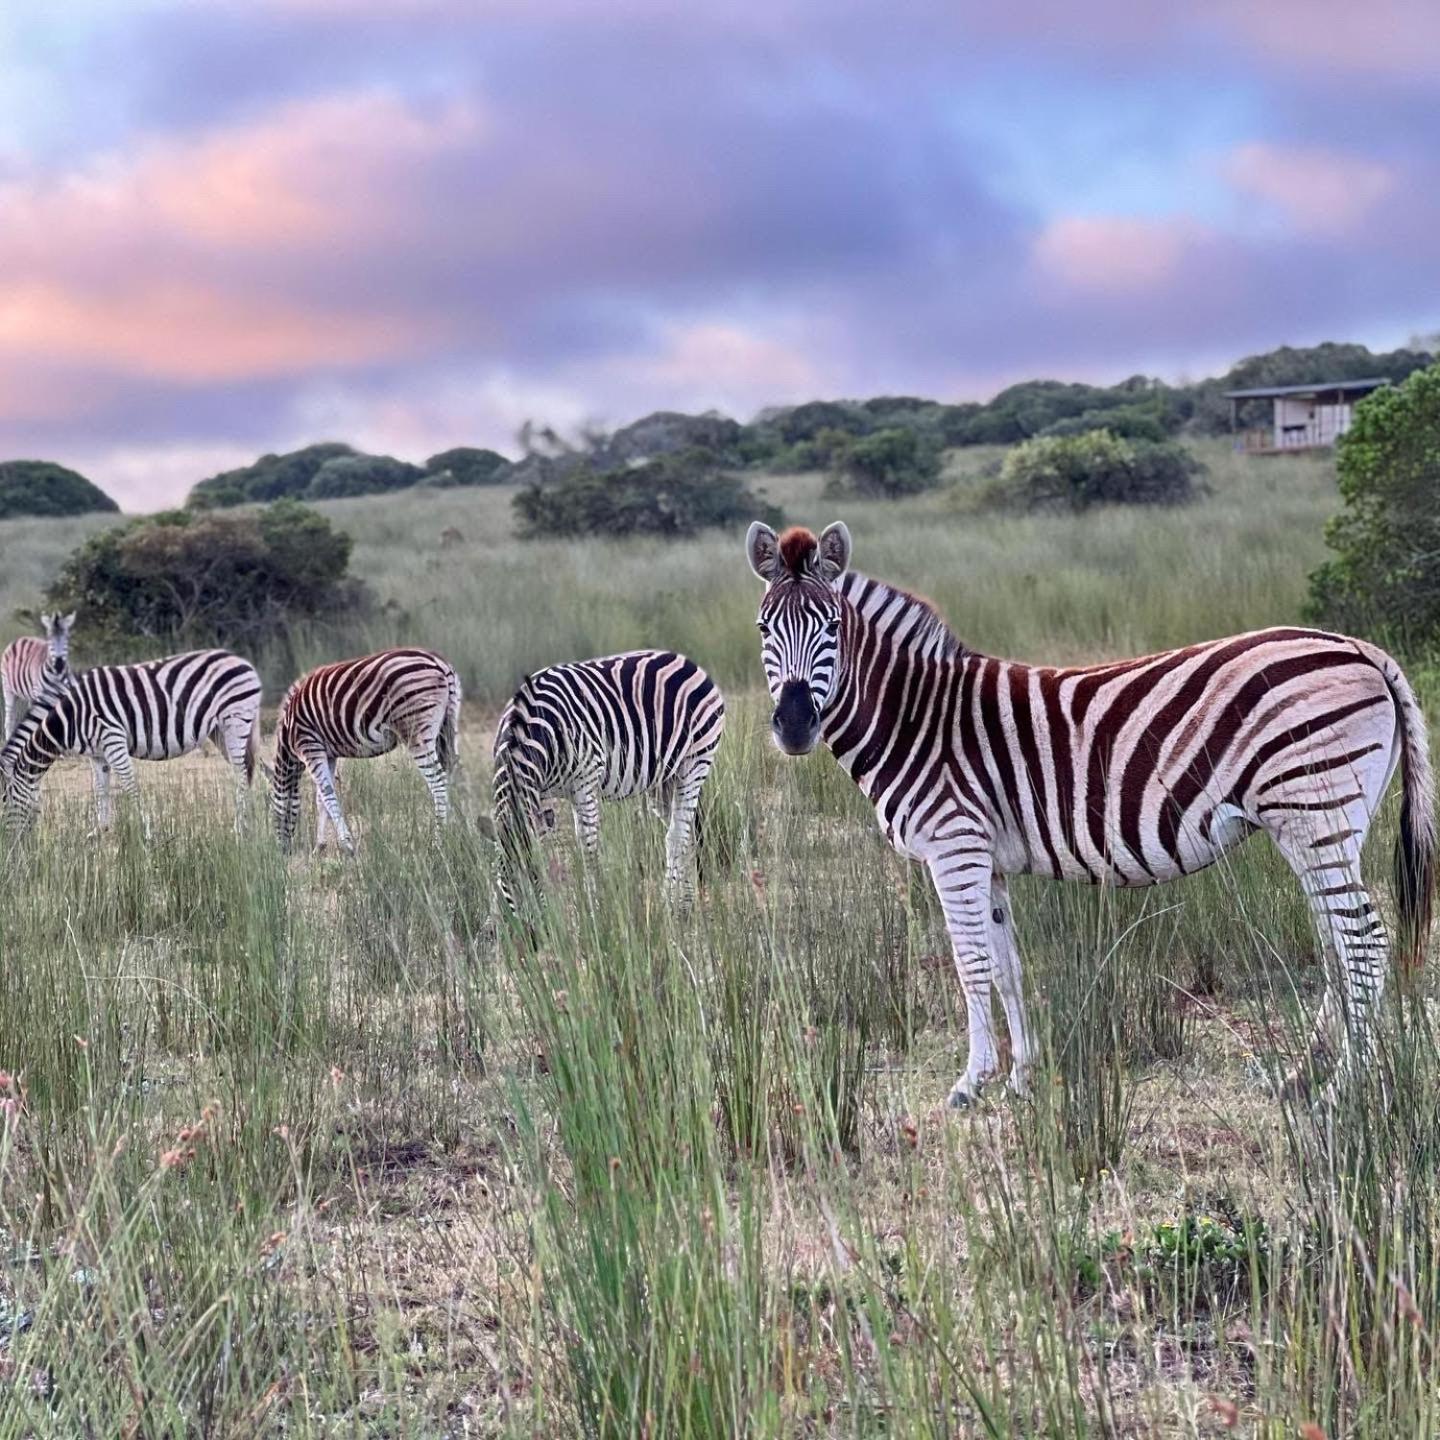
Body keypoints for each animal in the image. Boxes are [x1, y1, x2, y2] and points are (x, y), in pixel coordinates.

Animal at [0, 650, 263, 835]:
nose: (10, 846)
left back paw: (239, 827)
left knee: (242, 772)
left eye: (4, 802)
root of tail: (242, 661)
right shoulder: (97, 753)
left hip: (234, 720)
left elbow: (129, 786)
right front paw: (99, 831)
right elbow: (100, 789)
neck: (70, 716)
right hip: (219, 730)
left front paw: (146, 833)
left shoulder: (113, 738)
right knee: (249, 768)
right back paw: (251, 820)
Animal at [269, 645, 460, 852]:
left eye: (272, 813)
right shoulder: (328, 753)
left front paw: (346, 845)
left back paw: (438, 843)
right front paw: (319, 847)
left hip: (416, 729)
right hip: (446, 728)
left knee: (439, 782)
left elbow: (327, 794)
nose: (282, 853)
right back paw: (456, 833)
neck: (288, 732)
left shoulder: (309, 745)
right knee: (452, 775)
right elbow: (321, 799)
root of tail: (439, 662)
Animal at [495, 650, 725, 910]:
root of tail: (687, 662)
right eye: (506, 888)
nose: (536, 923)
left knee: (677, 836)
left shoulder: (585, 779)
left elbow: (588, 847)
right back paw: (685, 903)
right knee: (687, 830)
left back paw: (669, 905)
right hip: (664, 781)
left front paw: (594, 907)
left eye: (536, 879)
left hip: (695, 761)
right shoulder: (536, 791)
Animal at [748, 524, 1434, 1105]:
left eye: (831, 626)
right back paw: (1301, 1076)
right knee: (1337, 940)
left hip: (1314, 812)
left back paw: (1341, 1089)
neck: (917, 716)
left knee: (1362, 940)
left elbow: (971, 963)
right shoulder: (988, 859)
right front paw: (1020, 1080)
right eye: (761, 629)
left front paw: (971, 1083)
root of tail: (1359, 646)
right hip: (1325, 823)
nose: (794, 726)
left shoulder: (954, 845)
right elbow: (1006, 964)